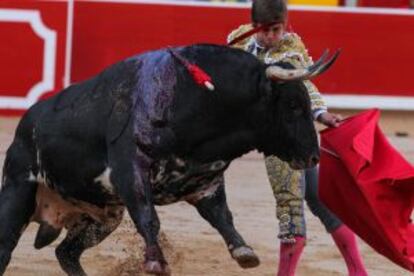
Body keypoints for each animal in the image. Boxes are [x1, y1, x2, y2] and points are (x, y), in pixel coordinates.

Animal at [0, 44, 336, 274]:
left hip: (104, 216)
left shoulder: (205, 181)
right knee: (6, 247)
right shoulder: (131, 172)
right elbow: (149, 217)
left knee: (66, 253)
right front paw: (155, 262)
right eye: (293, 105)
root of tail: (24, 125)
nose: (313, 156)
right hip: (17, 194)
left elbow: (222, 216)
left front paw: (244, 251)